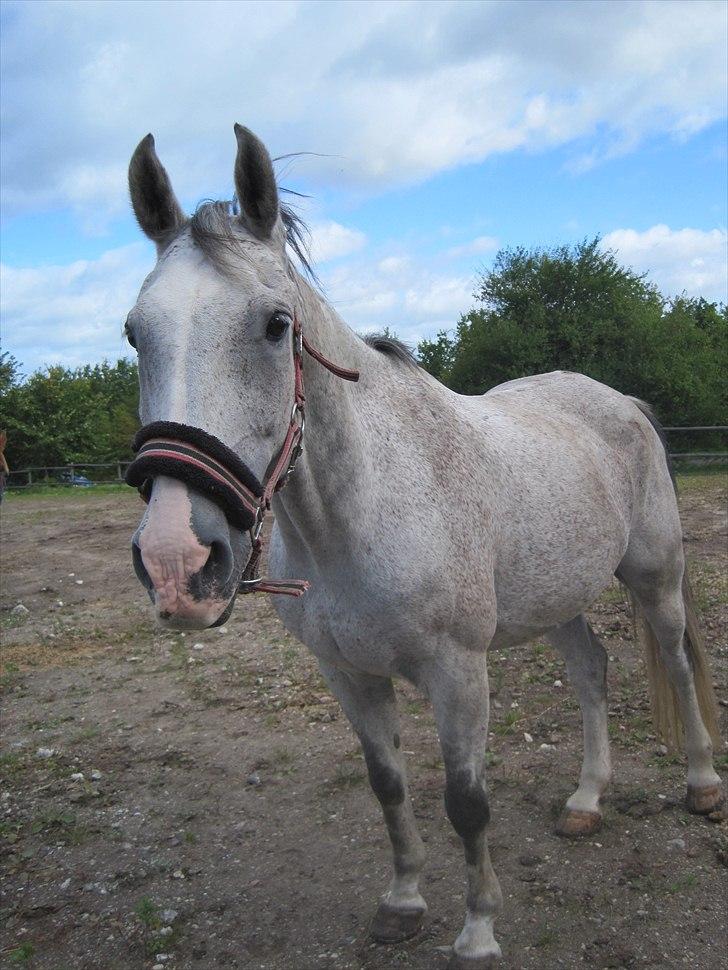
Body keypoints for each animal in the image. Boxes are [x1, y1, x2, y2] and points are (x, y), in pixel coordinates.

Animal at [125, 125, 724, 964]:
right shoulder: (347, 674)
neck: (358, 513)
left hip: (655, 580)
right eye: (133, 332)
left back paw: (701, 786)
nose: (177, 561)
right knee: (592, 674)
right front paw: (404, 901)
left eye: (276, 325)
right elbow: (389, 786)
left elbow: (466, 803)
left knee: (674, 661)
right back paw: (585, 799)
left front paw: (477, 931)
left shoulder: (456, 673)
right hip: (556, 600)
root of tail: (621, 402)